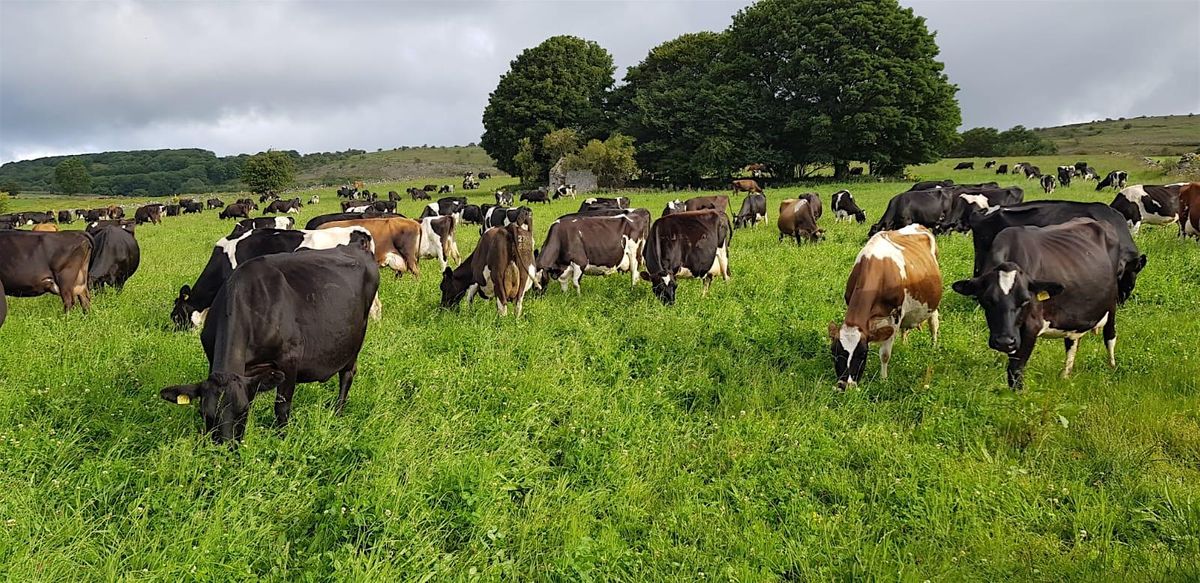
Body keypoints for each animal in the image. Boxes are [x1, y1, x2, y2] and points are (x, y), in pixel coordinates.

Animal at [830, 225, 940, 388]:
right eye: (834, 353)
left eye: (863, 354)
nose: (845, 385)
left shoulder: (895, 315)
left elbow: (885, 354)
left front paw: (883, 380)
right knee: (905, 330)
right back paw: (904, 344)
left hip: (933, 303)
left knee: (934, 323)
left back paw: (933, 348)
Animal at [950, 215, 1118, 388]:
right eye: (987, 300)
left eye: (1025, 300)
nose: (1004, 342)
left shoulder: (1031, 327)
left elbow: (1015, 369)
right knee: (1072, 342)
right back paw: (1065, 375)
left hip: (1112, 304)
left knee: (1110, 336)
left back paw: (1112, 368)